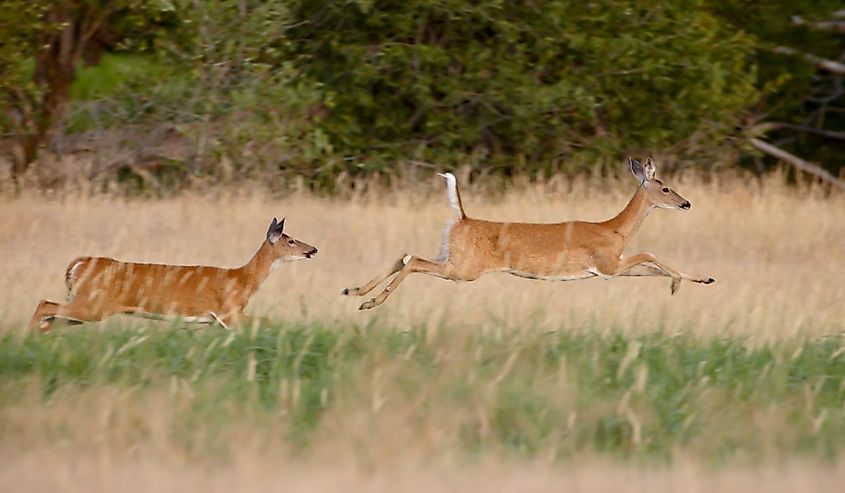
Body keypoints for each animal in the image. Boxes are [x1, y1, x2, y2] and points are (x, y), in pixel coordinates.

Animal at [28, 218, 316, 330]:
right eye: (291, 240)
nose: (313, 249)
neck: (242, 279)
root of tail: (78, 263)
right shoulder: (228, 312)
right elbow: (267, 321)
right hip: (94, 304)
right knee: (44, 304)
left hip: (83, 304)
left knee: (51, 316)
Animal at [342, 156, 712, 310]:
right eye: (665, 187)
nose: (687, 203)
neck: (615, 229)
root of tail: (461, 217)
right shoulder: (608, 263)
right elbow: (650, 255)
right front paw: (681, 283)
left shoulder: (611, 269)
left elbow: (650, 268)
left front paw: (699, 280)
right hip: (464, 268)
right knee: (414, 261)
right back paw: (370, 303)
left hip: (450, 255)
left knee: (405, 254)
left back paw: (354, 291)